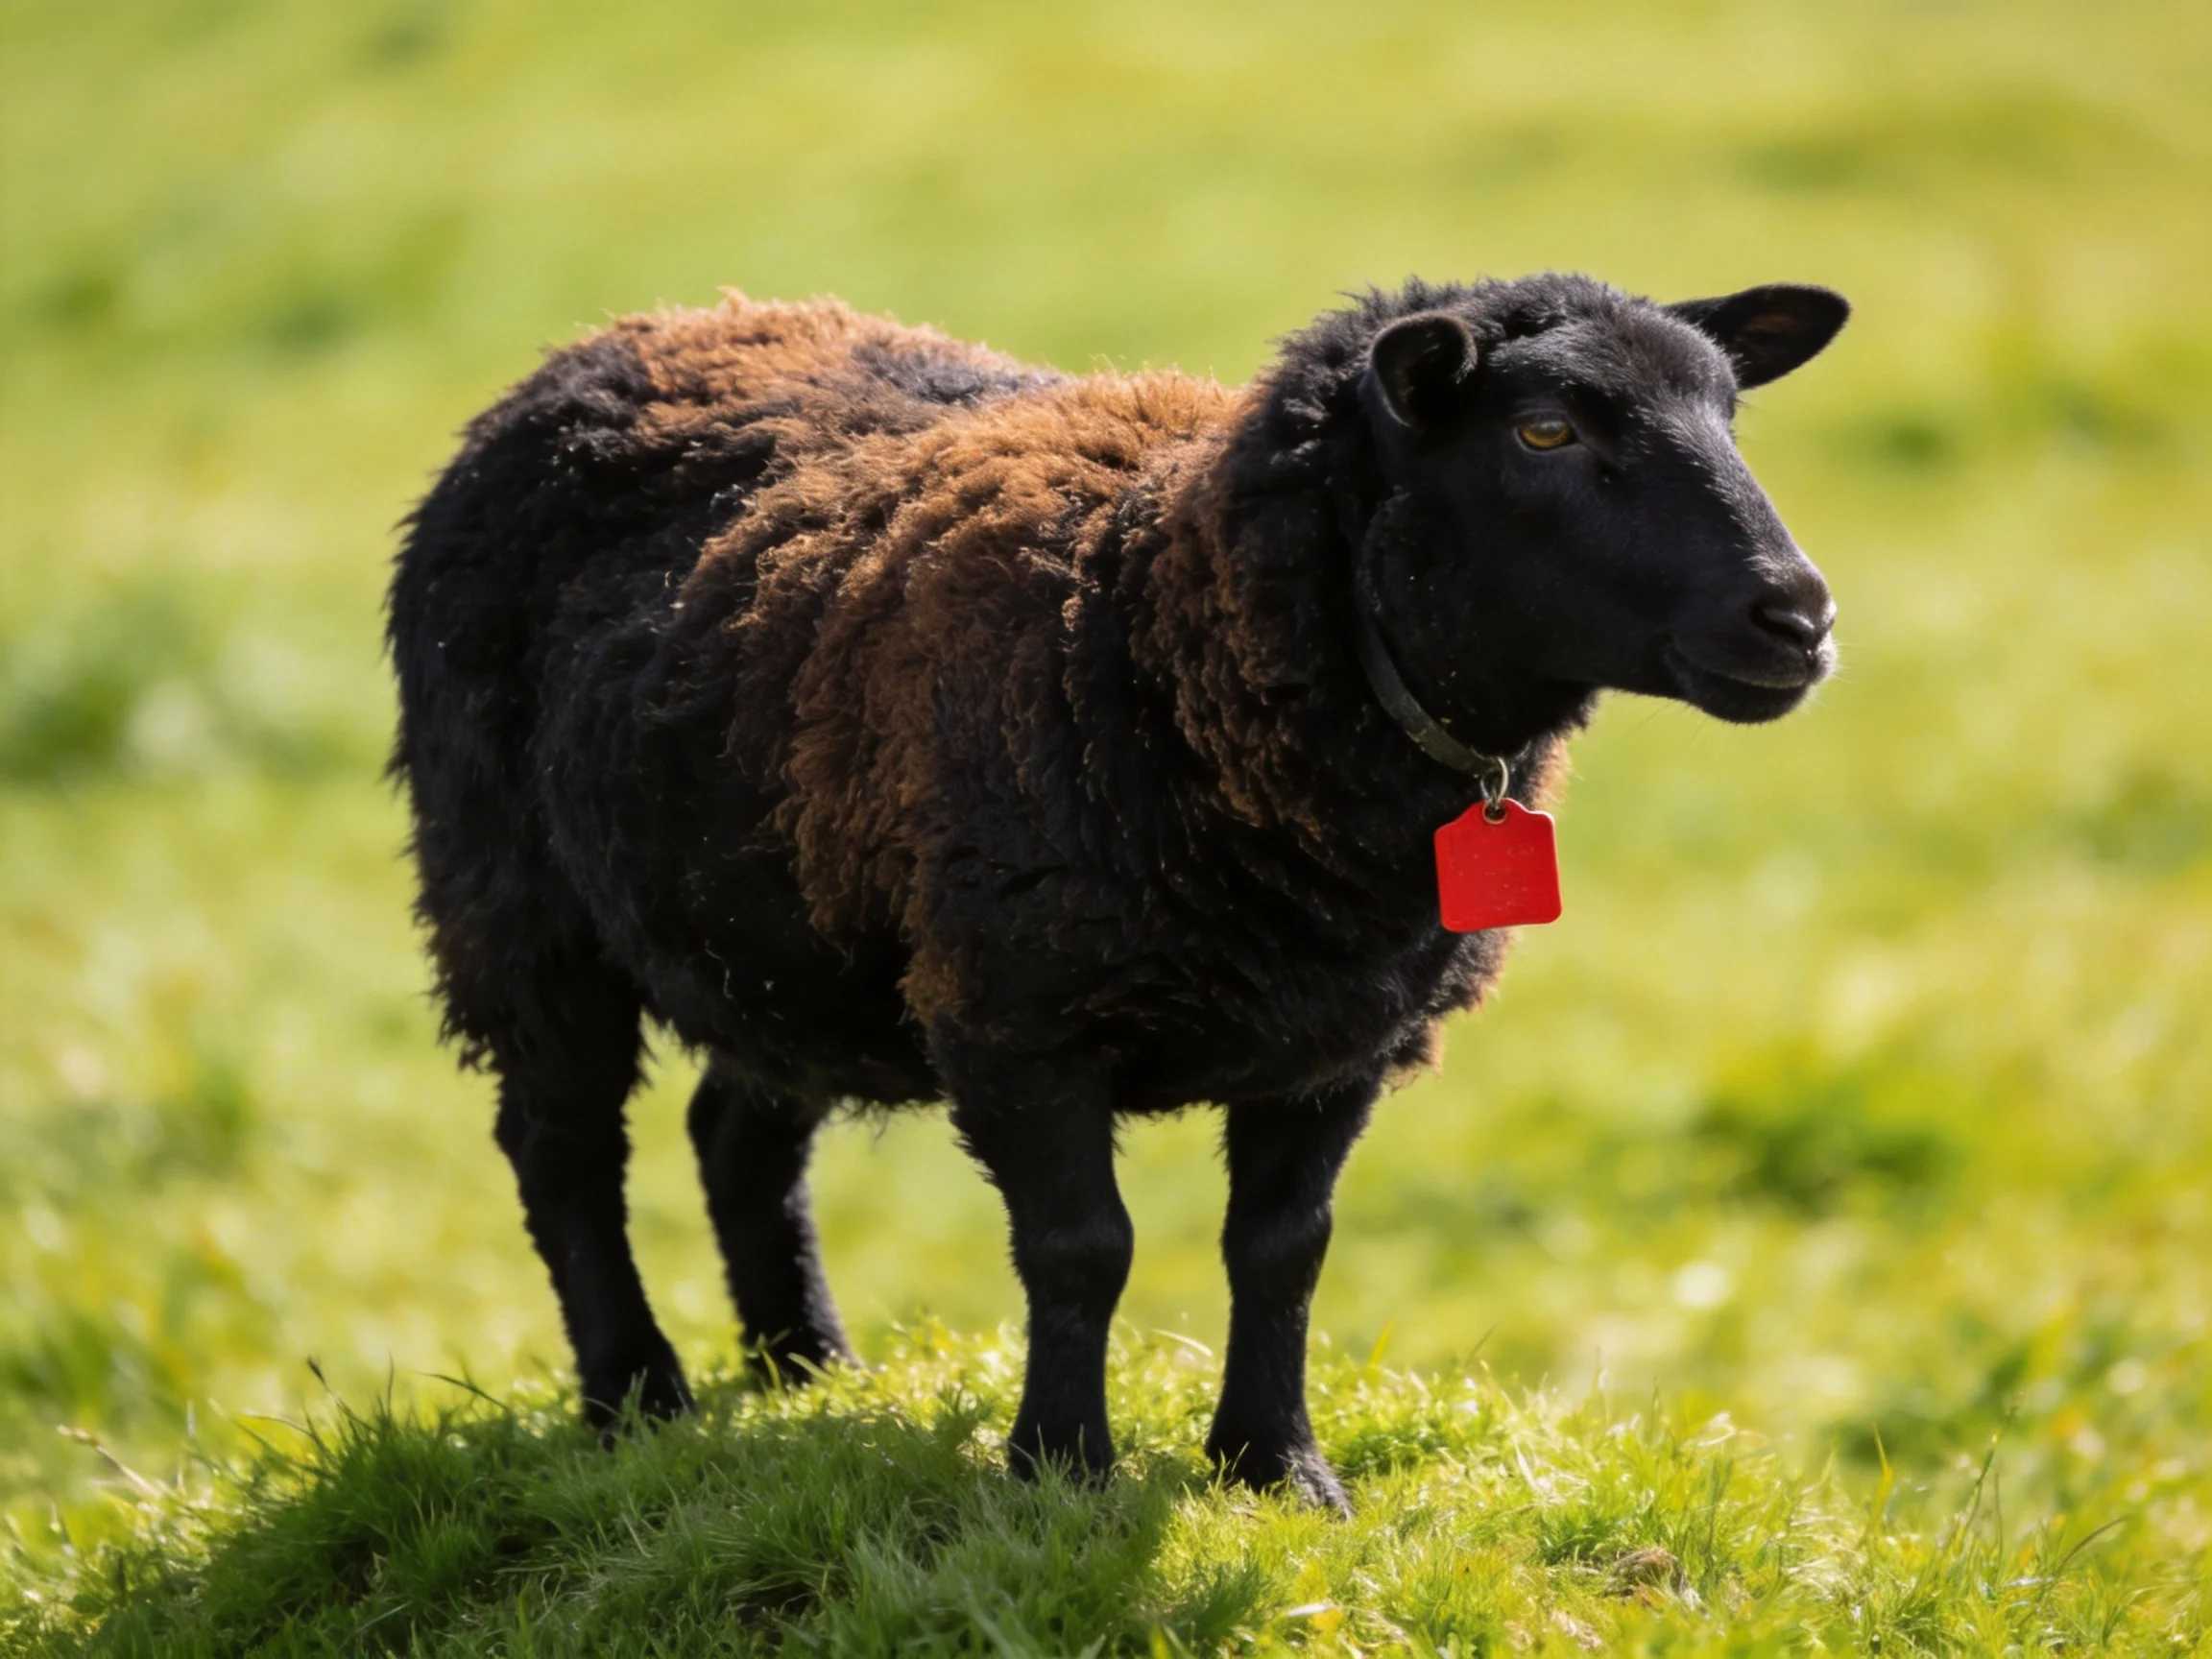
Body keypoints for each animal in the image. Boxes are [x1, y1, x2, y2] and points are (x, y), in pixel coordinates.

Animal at [388, 273, 1847, 1510]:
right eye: (1543, 430)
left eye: (1729, 412)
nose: (1800, 619)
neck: (1154, 623)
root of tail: (613, 339)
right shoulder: (1015, 1011)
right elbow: (1083, 1248)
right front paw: (1060, 1470)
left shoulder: (1338, 1038)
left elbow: (1283, 1248)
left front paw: (1278, 1470)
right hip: (514, 900)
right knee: (564, 1153)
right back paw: (636, 1395)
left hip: (787, 928)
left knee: (737, 1135)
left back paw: (809, 1373)